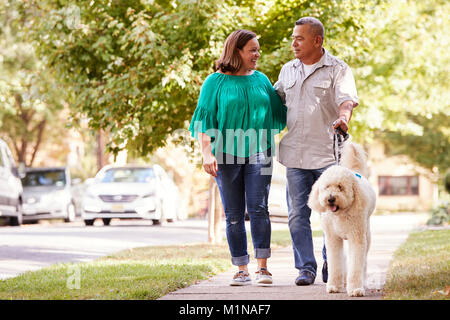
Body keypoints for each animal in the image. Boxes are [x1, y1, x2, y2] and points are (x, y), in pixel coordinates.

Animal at [310, 142, 376, 298]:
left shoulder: (356, 238)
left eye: (340, 187)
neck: (340, 214)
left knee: (362, 261)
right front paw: (334, 286)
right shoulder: (333, 239)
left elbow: (356, 264)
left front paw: (356, 289)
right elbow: (335, 263)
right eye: (327, 187)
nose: (330, 198)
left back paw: (361, 282)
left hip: (366, 235)